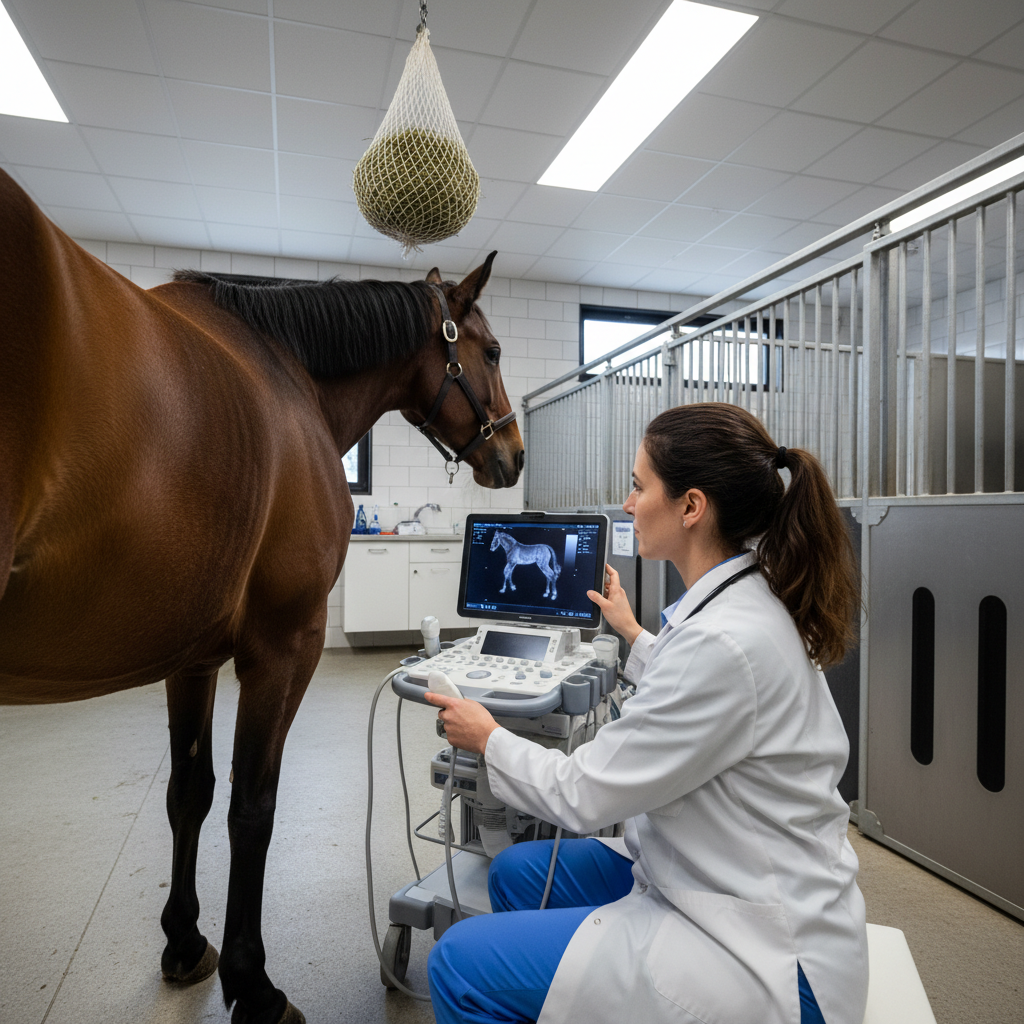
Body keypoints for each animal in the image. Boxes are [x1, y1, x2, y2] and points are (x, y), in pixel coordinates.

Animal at [0, 166, 522, 1024]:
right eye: (492, 349)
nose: (514, 454)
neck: (291, 376)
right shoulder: (283, 646)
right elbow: (254, 806)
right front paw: (255, 982)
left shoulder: (192, 658)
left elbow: (191, 792)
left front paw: (185, 942)